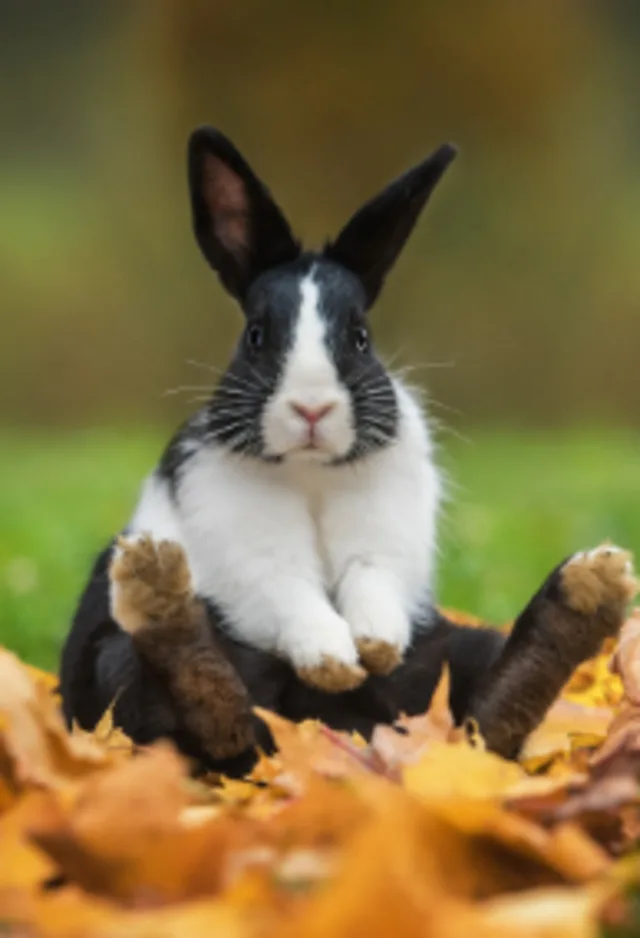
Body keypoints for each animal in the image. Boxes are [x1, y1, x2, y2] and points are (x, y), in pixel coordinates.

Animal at [112, 128, 458, 692]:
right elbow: (295, 599)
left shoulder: (381, 547)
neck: (310, 471)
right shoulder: (259, 566)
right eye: (255, 335)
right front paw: (333, 665)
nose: (312, 408)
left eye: (361, 338)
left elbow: (371, 584)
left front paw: (378, 648)